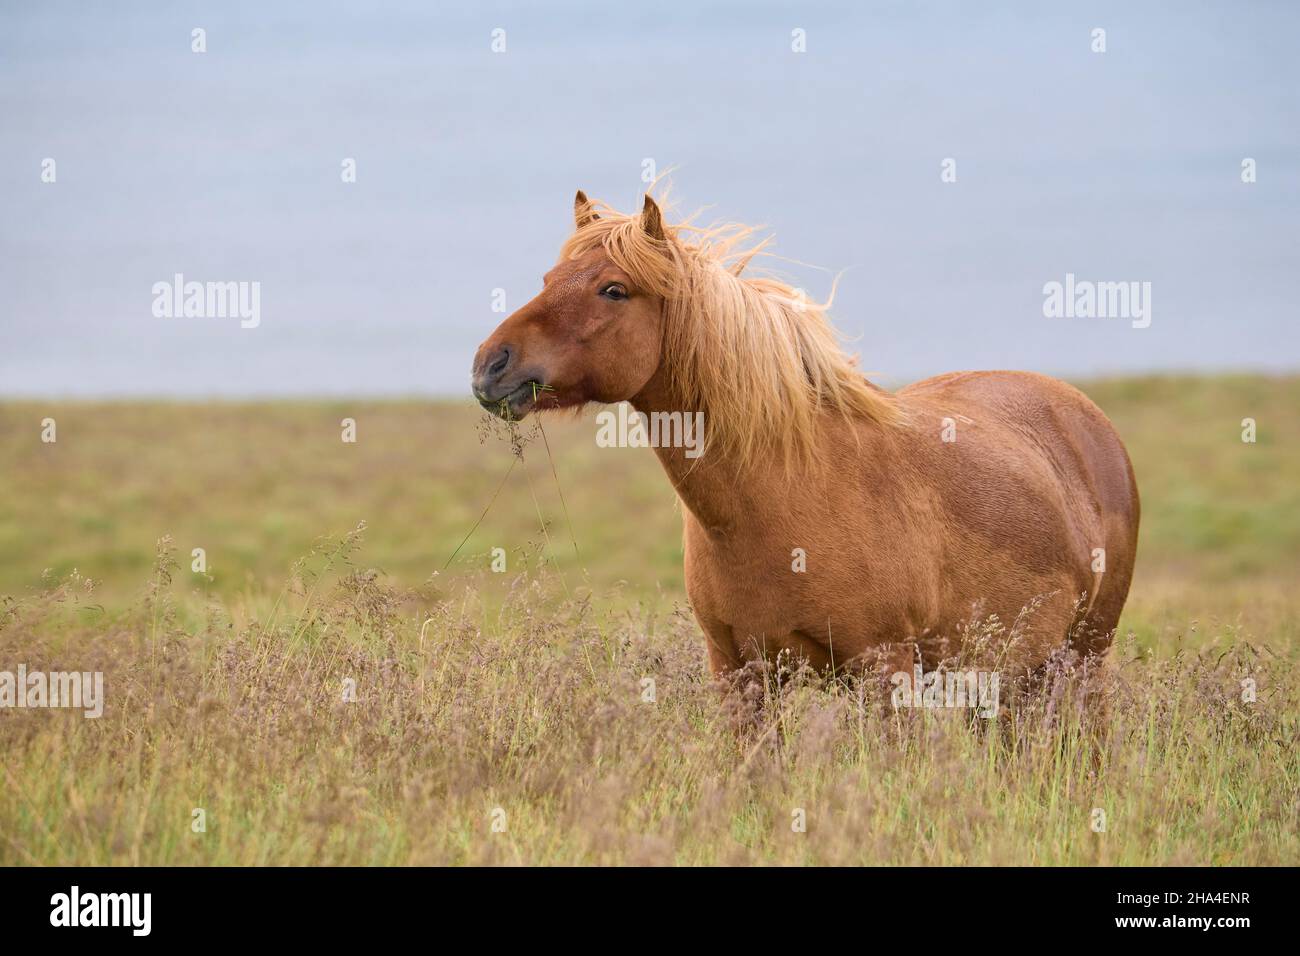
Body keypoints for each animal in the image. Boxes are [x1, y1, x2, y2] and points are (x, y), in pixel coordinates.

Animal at [470, 188, 1138, 681]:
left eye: (613, 289)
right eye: (549, 277)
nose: (490, 366)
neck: (782, 496)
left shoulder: (884, 670)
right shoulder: (739, 672)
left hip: (1082, 658)